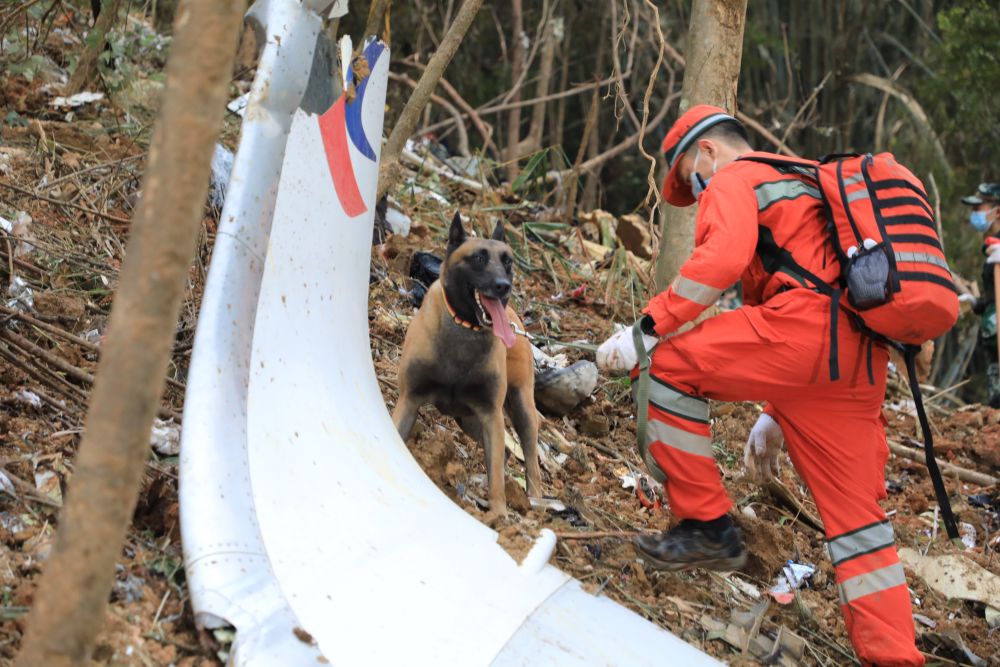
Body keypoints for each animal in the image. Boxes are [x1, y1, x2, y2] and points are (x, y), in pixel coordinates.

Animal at [394, 214, 544, 516]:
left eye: (508, 261)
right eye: (478, 258)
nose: (503, 285)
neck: (465, 327)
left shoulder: (491, 415)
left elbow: (496, 476)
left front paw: (498, 515)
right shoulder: (409, 401)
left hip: (520, 408)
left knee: (529, 458)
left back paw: (534, 501)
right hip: (468, 420)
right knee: (506, 453)